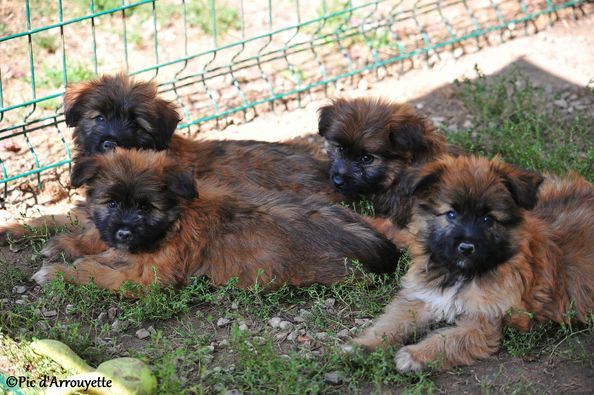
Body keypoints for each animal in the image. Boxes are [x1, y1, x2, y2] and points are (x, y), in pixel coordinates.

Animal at [33, 148, 402, 290]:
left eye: (146, 208)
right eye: (110, 202)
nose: (124, 233)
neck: (174, 220)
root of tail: (383, 248)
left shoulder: (147, 279)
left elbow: (97, 272)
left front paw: (60, 273)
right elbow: (97, 242)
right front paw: (67, 246)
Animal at [352, 156, 592, 372]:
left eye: (487, 219)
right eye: (451, 214)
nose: (466, 247)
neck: (461, 274)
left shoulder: (482, 322)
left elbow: (447, 340)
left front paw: (415, 355)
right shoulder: (423, 298)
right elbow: (391, 323)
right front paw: (362, 346)